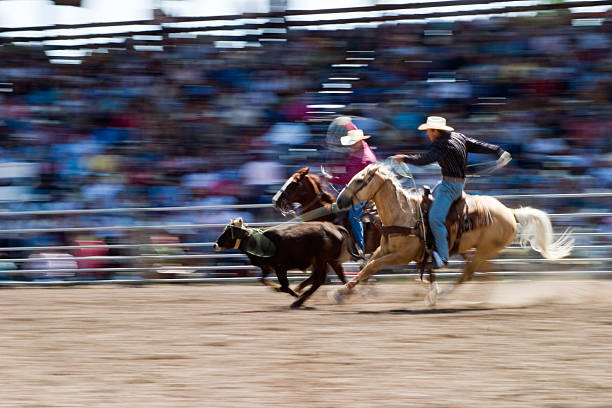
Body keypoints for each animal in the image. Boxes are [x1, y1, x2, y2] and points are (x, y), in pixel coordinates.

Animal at [330, 164, 572, 304]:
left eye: (359, 180)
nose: (340, 201)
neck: (404, 214)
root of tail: (510, 212)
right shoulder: (384, 249)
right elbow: (367, 266)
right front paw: (344, 291)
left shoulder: (401, 256)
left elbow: (371, 266)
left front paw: (339, 292)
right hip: (483, 252)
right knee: (489, 275)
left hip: (483, 251)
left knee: (468, 274)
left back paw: (442, 296)